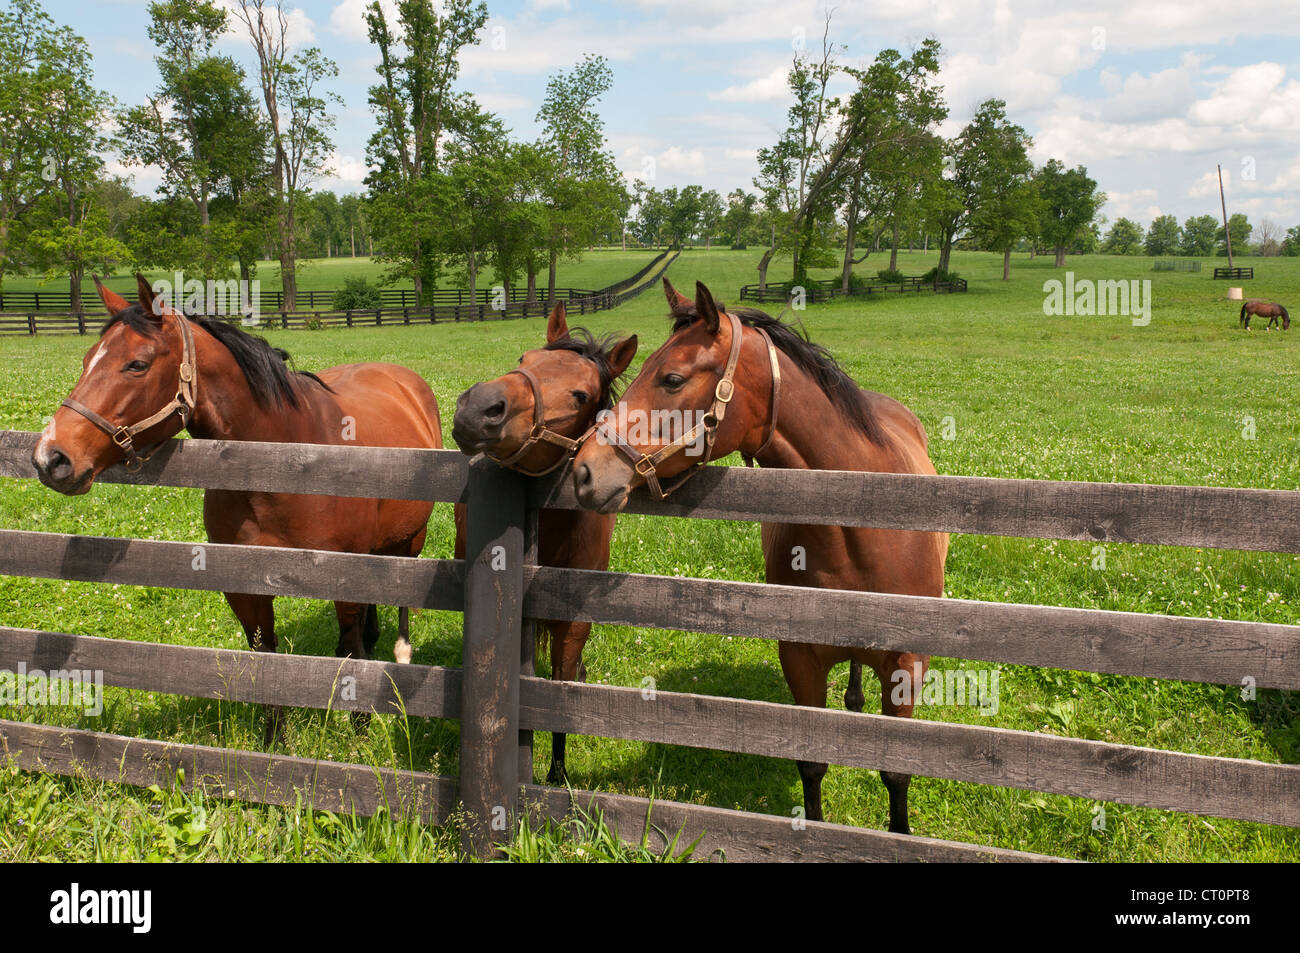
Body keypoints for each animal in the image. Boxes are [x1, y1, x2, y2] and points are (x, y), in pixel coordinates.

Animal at [31, 275, 444, 742]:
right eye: (87, 360)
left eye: (136, 364)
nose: (52, 457)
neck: (284, 463)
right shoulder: (244, 587)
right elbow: (265, 656)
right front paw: (274, 740)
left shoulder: (344, 575)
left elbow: (354, 649)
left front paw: (359, 730)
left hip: (410, 541)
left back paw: (400, 651)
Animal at [452, 301, 637, 782]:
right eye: (524, 359)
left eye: (581, 396)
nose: (479, 408)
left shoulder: (574, 623)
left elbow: (560, 690)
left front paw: (556, 775)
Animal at [570, 278, 948, 834]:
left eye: (672, 378)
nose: (584, 471)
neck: (862, 523)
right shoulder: (800, 658)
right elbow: (812, 763)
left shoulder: (908, 664)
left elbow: (896, 773)